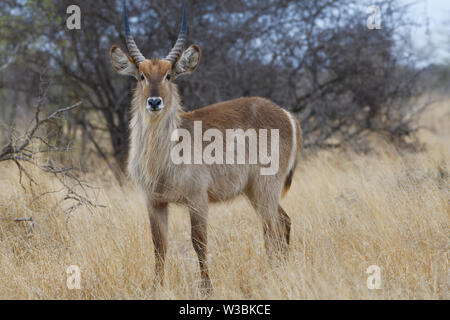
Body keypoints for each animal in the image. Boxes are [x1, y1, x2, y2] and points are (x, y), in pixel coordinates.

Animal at [110, 3, 302, 292]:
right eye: (141, 76)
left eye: (168, 75)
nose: (154, 102)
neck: (162, 157)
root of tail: (286, 114)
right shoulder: (153, 201)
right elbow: (158, 245)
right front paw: (156, 287)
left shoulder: (197, 198)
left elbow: (198, 242)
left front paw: (206, 288)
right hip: (255, 190)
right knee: (283, 222)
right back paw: (279, 271)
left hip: (265, 186)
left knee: (273, 227)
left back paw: (274, 274)